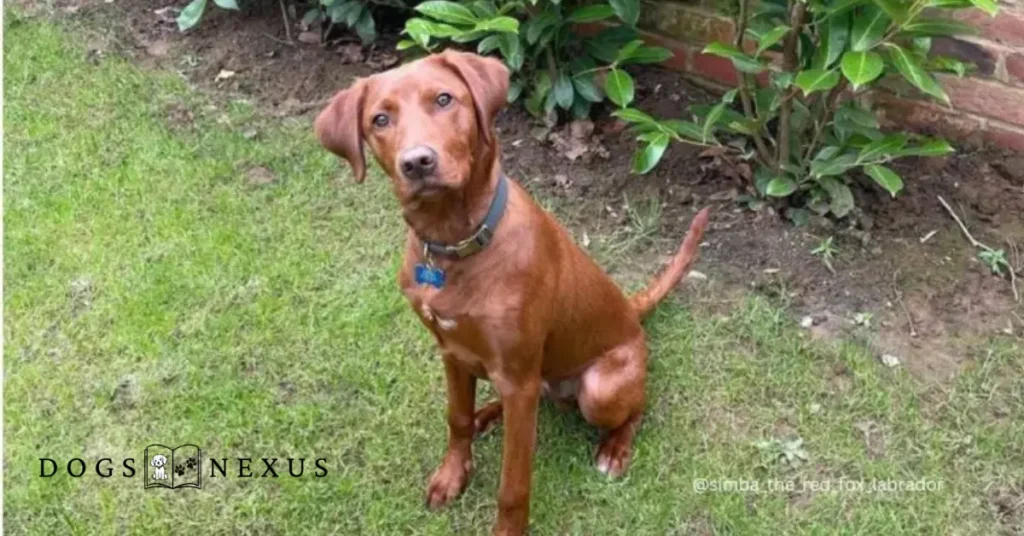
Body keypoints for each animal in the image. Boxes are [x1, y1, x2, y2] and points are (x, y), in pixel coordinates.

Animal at [315, 48, 708, 532]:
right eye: (380, 119)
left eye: (444, 99)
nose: (417, 162)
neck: (455, 244)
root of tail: (633, 314)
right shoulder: (451, 351)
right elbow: (456, 418)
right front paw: (453, 473)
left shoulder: (519, 376)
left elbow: (513, 484)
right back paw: (487, 414)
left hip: (599, 388)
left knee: (635, 409)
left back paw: (615, 450)